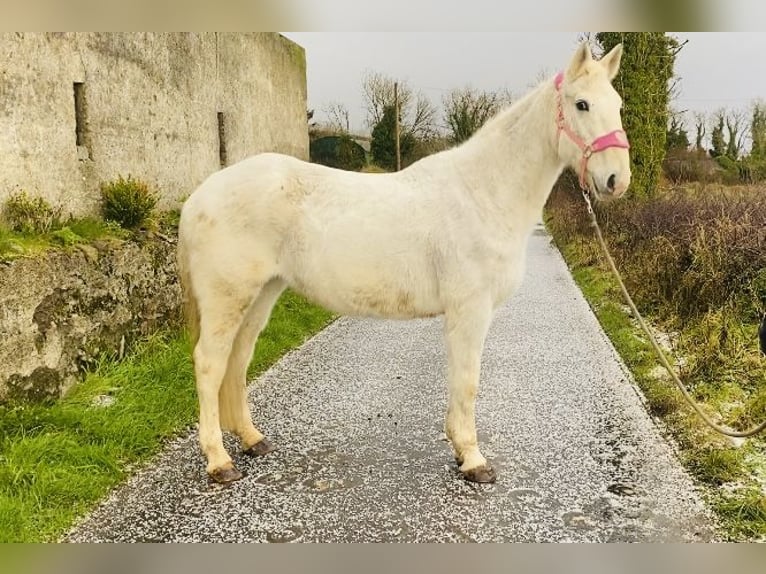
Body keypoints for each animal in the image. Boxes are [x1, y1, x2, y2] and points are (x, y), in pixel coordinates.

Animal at [178, 42, 632, 486]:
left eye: (618, 104)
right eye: (582, 104)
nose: (617, 181)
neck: (481, 193)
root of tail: (200, 195)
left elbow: (459, 380)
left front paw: (459, 449)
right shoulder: (470, 310)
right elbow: (468, 381)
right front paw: (474, 460)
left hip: (261, 294)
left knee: (237, 359)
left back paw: (253, 440)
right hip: (227, 298)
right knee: (210, 364)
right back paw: (219, 462)